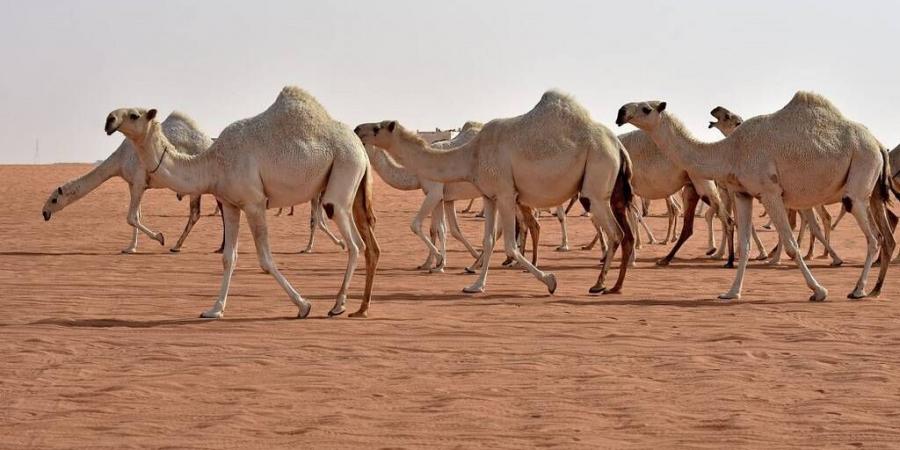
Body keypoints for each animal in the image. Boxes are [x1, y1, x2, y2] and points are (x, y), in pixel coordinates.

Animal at [43, 111, 216, 253]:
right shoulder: (132, 183)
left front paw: (160, 237)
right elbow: (137, 216)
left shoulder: (139, 180)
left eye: (54, 199)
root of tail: (209, 142)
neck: (120, 160)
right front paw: (130, 248)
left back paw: (177, 246)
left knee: (195, 214)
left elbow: (131, 217)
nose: (44, 213)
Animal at [106, 87, 380, 320]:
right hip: (350, 186)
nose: (109, 120)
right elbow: (229, 257)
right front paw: (214, 309)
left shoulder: (254, 202)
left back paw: (338, 305)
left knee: (354, 243)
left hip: (343, 170)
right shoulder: (230, 204)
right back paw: (350, 305)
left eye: (134, 115)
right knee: (364, 242)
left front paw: (304, 305)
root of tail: (361, 149)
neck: (213, 163)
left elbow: (265, 259)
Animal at [356, 90, 636, 296]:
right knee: (624, 232)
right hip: (609, 189)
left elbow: (509, 244)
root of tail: (618, 145)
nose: (358, 129)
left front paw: (550, 280)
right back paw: (614, 284)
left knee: (615, 232)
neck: (471, 154)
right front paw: (475, 285)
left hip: (596, 180)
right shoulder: (489, 196)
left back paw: (600, 284)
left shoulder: (503, 192)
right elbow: (488, 239)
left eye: (379, 127)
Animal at [712, 107, 844, 266]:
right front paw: (721, 254)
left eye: (727, 116)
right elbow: (730, 221)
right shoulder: (727, 191)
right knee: (817, 220)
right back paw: (816, 254)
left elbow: (739, 222)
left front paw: (756, 254)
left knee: (817, 220)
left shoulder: (737, 190)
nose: (715, 110)